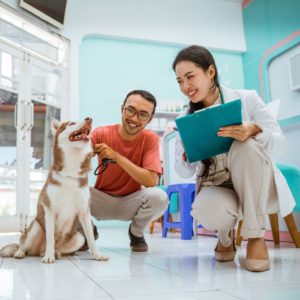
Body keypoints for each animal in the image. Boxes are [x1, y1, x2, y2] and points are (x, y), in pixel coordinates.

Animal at [0, 117, 109, 262]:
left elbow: (91, 238)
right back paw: (24, 253)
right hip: (36, 226)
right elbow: (50, 237)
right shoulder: (50, 209)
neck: (71, 172)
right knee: (24, 245)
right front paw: (49, 257)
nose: (89, 118)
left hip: (78, 238)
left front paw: (97, 254)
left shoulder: (84, 211)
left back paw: (56, 253)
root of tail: (37, 251)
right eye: (71, 123)